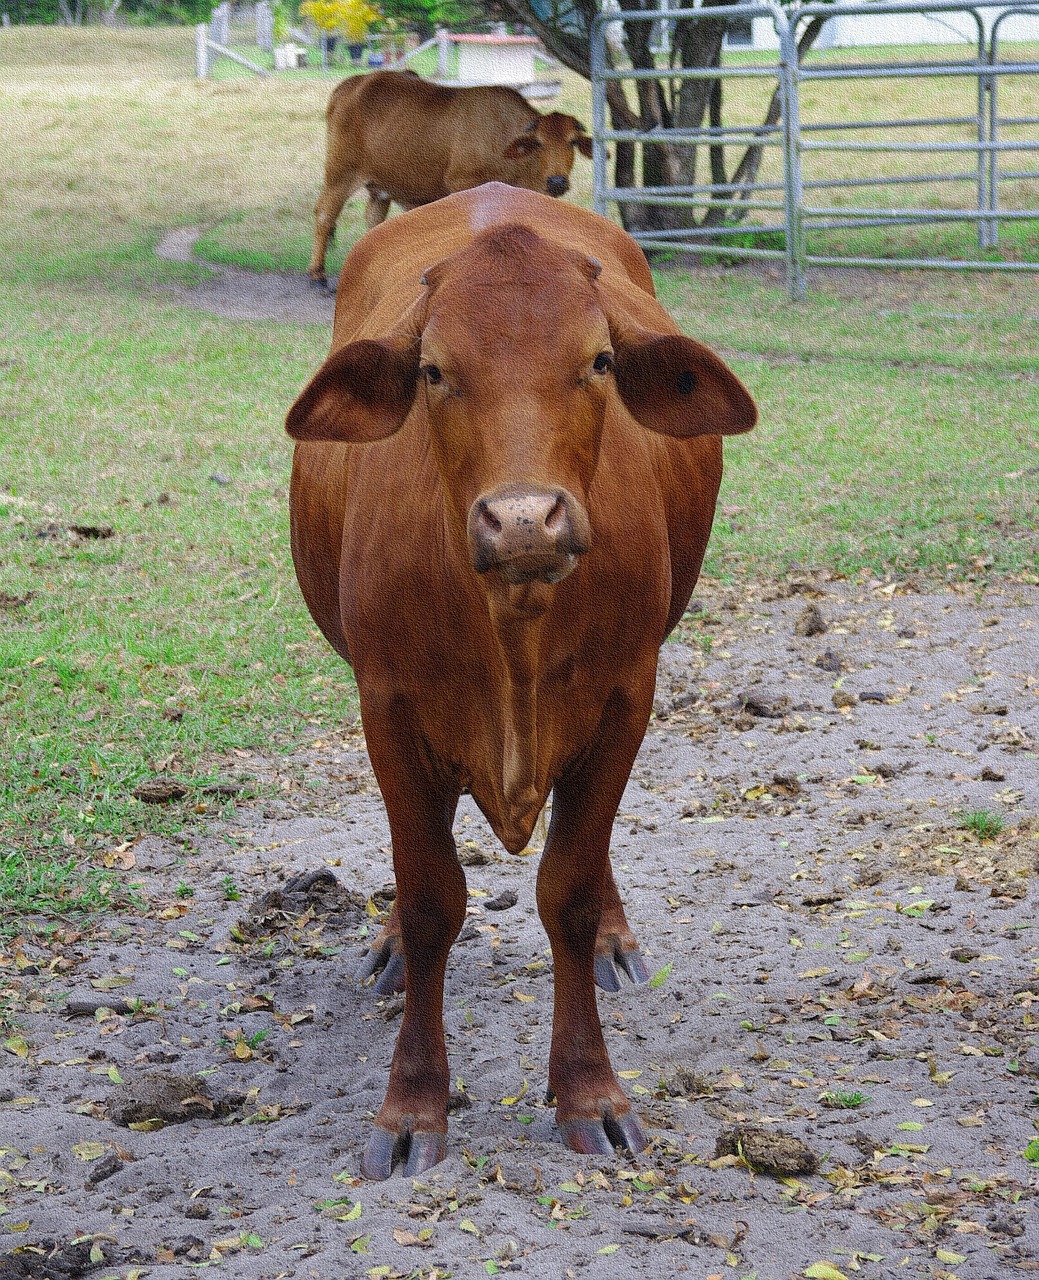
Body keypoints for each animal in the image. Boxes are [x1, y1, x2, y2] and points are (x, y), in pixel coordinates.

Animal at [284, 183, 752, 1177]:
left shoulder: (625, 698)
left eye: (600, 361)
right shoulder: (387, 708)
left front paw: (589, 1091)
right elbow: (432, 898)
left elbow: (565, 894)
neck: (514, 628)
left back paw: (615, 938)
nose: (525, 520)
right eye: (433, 372)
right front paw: (412, 1105)